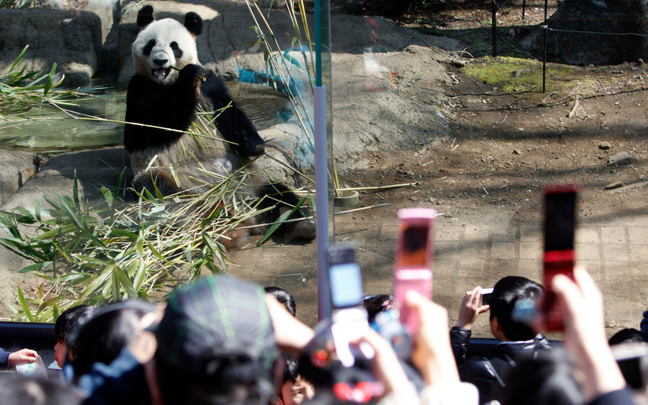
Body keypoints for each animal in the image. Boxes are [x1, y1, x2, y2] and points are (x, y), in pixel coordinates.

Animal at [123, 4, 316, 248]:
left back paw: (300, 223)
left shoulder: (212, 84)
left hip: (251, 183)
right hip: (174, 181)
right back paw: (223, 223)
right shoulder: (138, 88)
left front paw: (255, 146)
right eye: (150, 44)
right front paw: (187, 78)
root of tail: (249, 219)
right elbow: (145, 130)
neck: (166, 82)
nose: (160, 61)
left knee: (276, 194)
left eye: (174, 46)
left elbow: (229, 112)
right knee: (157, 188)